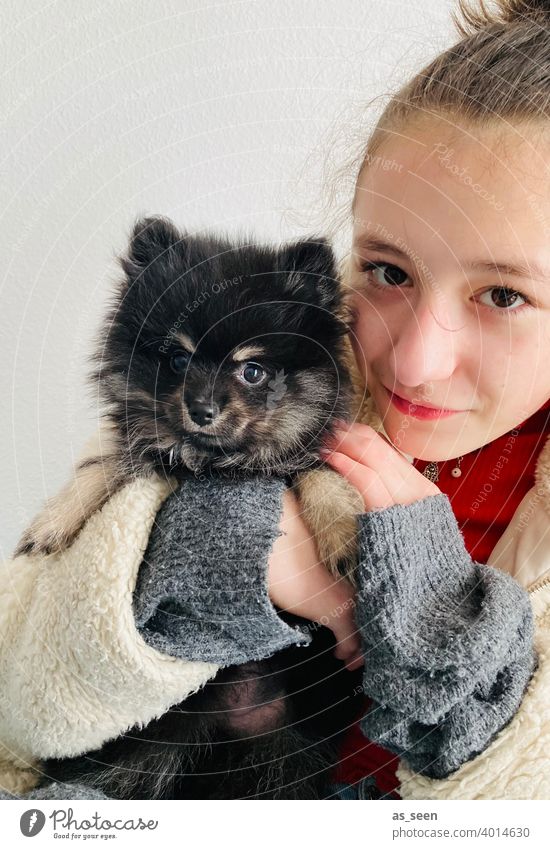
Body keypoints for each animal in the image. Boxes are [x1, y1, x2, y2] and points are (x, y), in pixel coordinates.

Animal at [23, 215, 368, 800]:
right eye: (179, 359)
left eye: (252, 371)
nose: (201, 409)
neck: (215, 463)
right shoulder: (146, 453)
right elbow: (104, 466)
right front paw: (53, 522)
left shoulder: (301, 455)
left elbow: (322, 476)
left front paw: (344, 530)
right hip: (148, 751)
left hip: (284, 752)